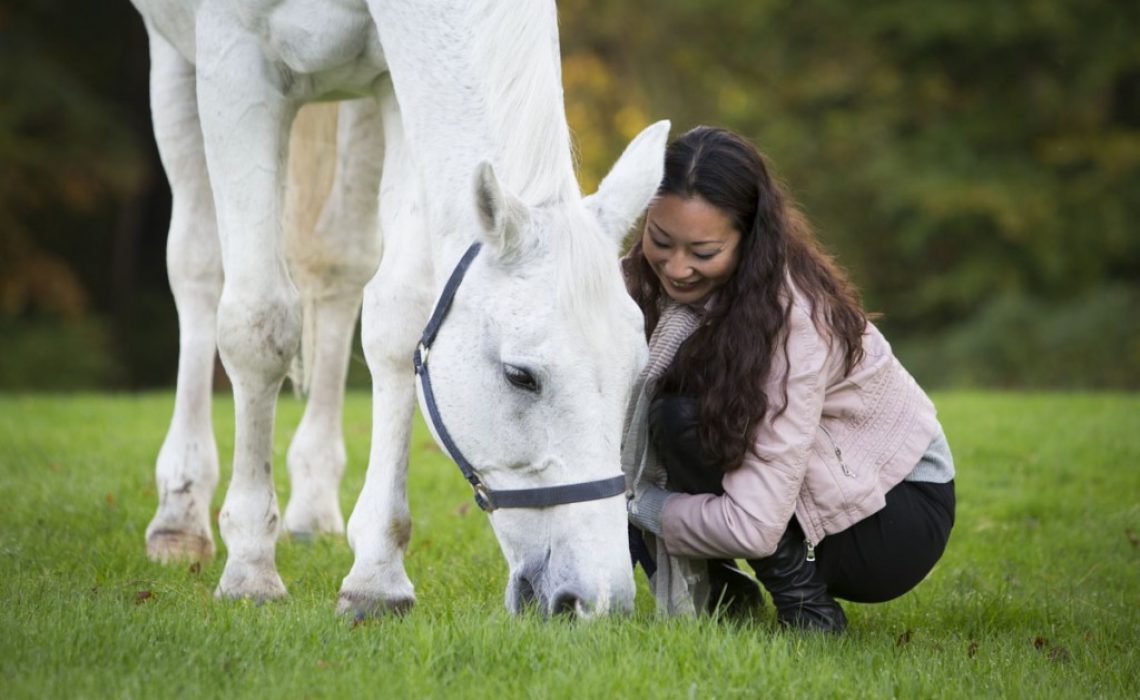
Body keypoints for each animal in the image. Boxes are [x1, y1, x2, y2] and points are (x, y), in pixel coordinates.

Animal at [133, 0, 665, 615]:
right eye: (520, 376)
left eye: (634, 379)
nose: (597, 600)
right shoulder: (234, 63)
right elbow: (257, 322)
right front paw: (248, 567)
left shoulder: (397, 86)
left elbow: (398, 319)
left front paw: (375, 576)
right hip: (175, 61)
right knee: (197, 270)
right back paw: (179, 515)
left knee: (340, 265)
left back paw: (311, 504)